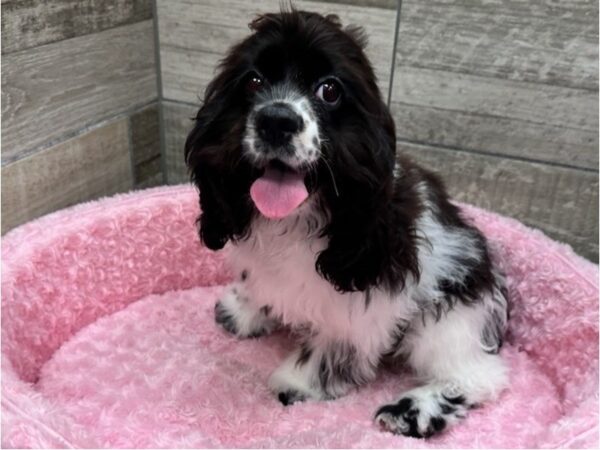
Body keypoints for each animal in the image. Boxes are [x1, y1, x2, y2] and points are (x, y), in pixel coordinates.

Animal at [185, 8, 508, 438]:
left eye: (330, 90)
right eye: (253, 81)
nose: (276, 120)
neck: (297, 218)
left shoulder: (363, 298)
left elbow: (335, 342)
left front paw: (299, 382)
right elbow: (258, 285)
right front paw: (242, 311)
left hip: (450, 316)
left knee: (478, 376)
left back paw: (411, 410)